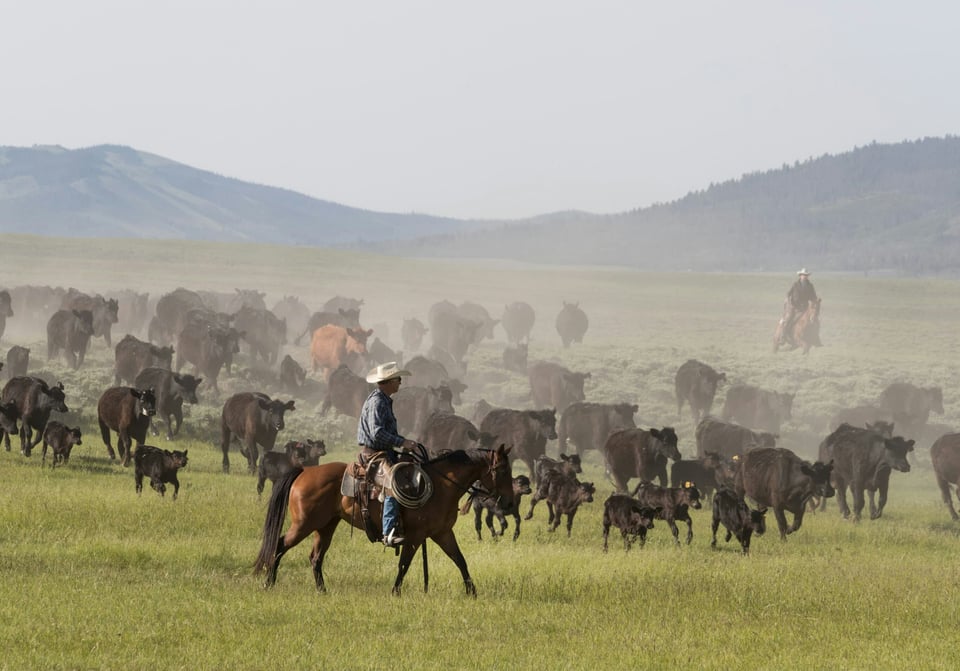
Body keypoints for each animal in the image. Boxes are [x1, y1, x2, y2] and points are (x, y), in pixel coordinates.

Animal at [254, 444, 514, 597]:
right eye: (502, 470)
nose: (510, 504)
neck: (441, 485)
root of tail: (304, 471)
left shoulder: (442, 533)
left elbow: (460, 560)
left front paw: (472, 592)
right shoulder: (415, 536)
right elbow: (404, 565)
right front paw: (395, 592)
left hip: (325, 526)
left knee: (315, 557)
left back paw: (322, 591)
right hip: (303, 525)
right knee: (280, 544)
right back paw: (268, 583)